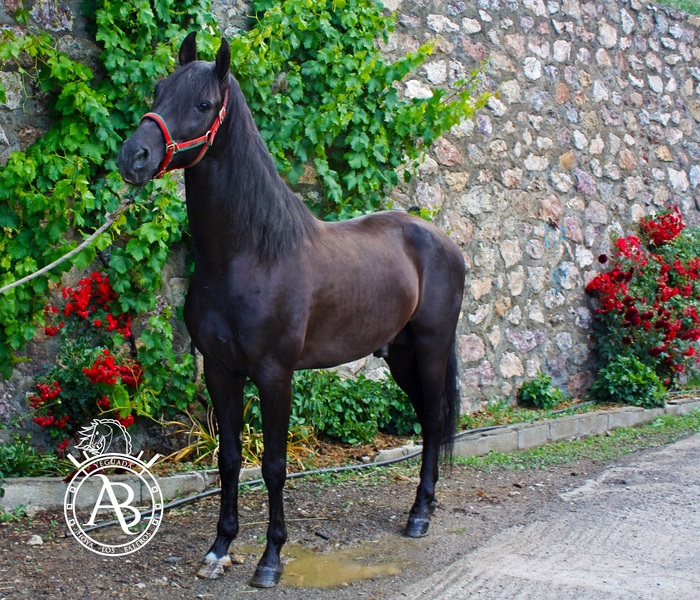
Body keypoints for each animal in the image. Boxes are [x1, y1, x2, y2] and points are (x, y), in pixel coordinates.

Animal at [117, 32, 466, 588]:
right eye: (158, 90)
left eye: (204, 104)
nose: (135, 156)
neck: (248, 256)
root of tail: (442, 241)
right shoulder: (220, 371)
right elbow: (230, 459)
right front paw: (219, 548)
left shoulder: (274, 374)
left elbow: (274, 466)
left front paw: (270, 559)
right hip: (399, 355)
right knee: (427, 420)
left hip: (432, 349)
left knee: (433, 421)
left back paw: (419, 516)